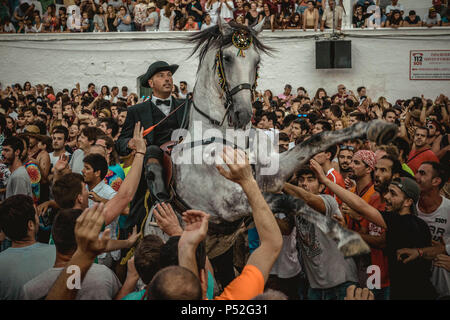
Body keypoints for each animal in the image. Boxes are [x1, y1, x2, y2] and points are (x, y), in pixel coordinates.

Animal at [143, 18, 398, 258]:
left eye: (257, 61)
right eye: (226, 58)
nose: (243, 114)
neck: (227, 136)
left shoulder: (272, 175)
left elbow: (316, 140)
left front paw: (377, 127)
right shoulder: (228, 203)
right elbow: (289, 201)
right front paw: (346, 237)